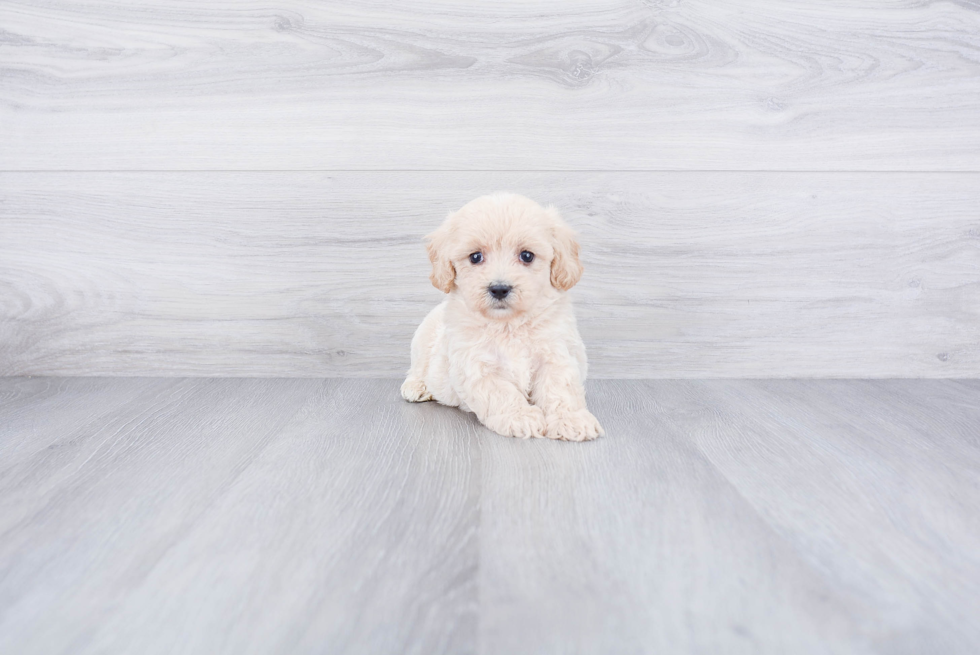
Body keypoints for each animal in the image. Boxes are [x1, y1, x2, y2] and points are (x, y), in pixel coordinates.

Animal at [400, 192, 604, 444]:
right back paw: (417, 386)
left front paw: (571, 420)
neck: (509, 324)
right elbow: (501, 392)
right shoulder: (476, 366)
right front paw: (520, 417)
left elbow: (560, 389)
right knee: (417, 367)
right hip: (421, 341)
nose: (499, 288)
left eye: (527, 256)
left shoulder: (556, 354)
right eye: (475, 257)